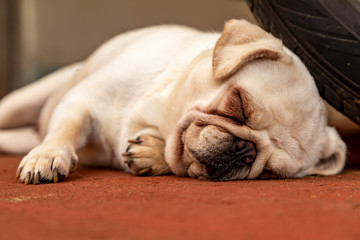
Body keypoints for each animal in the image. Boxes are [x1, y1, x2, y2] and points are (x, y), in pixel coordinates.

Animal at [0, 19, 344, 184]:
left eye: (271, 171)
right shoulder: (80, 101)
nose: (243, 149)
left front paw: (153, 155)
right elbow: (66, 130)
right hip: (26, 100)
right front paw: (48, 155)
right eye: (239, 105)